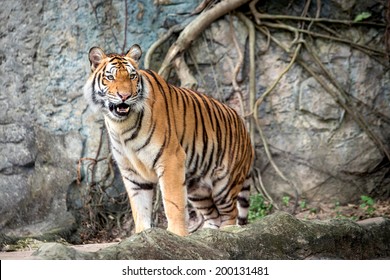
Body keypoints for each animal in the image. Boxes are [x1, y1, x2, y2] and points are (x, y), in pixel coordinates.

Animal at [84, 44, 254, 236]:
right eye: (110, 77)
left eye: (132, 76)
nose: (125, 96)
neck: (121, 126)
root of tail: (244, 127)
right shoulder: (132, 173)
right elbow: (140, 210)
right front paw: (141, 235)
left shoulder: (171, 159)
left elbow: (173, 204)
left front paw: (176, 235)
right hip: (198, 189)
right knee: (213, 216)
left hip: (224, 184)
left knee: (230, 214)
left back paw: (227, 233)